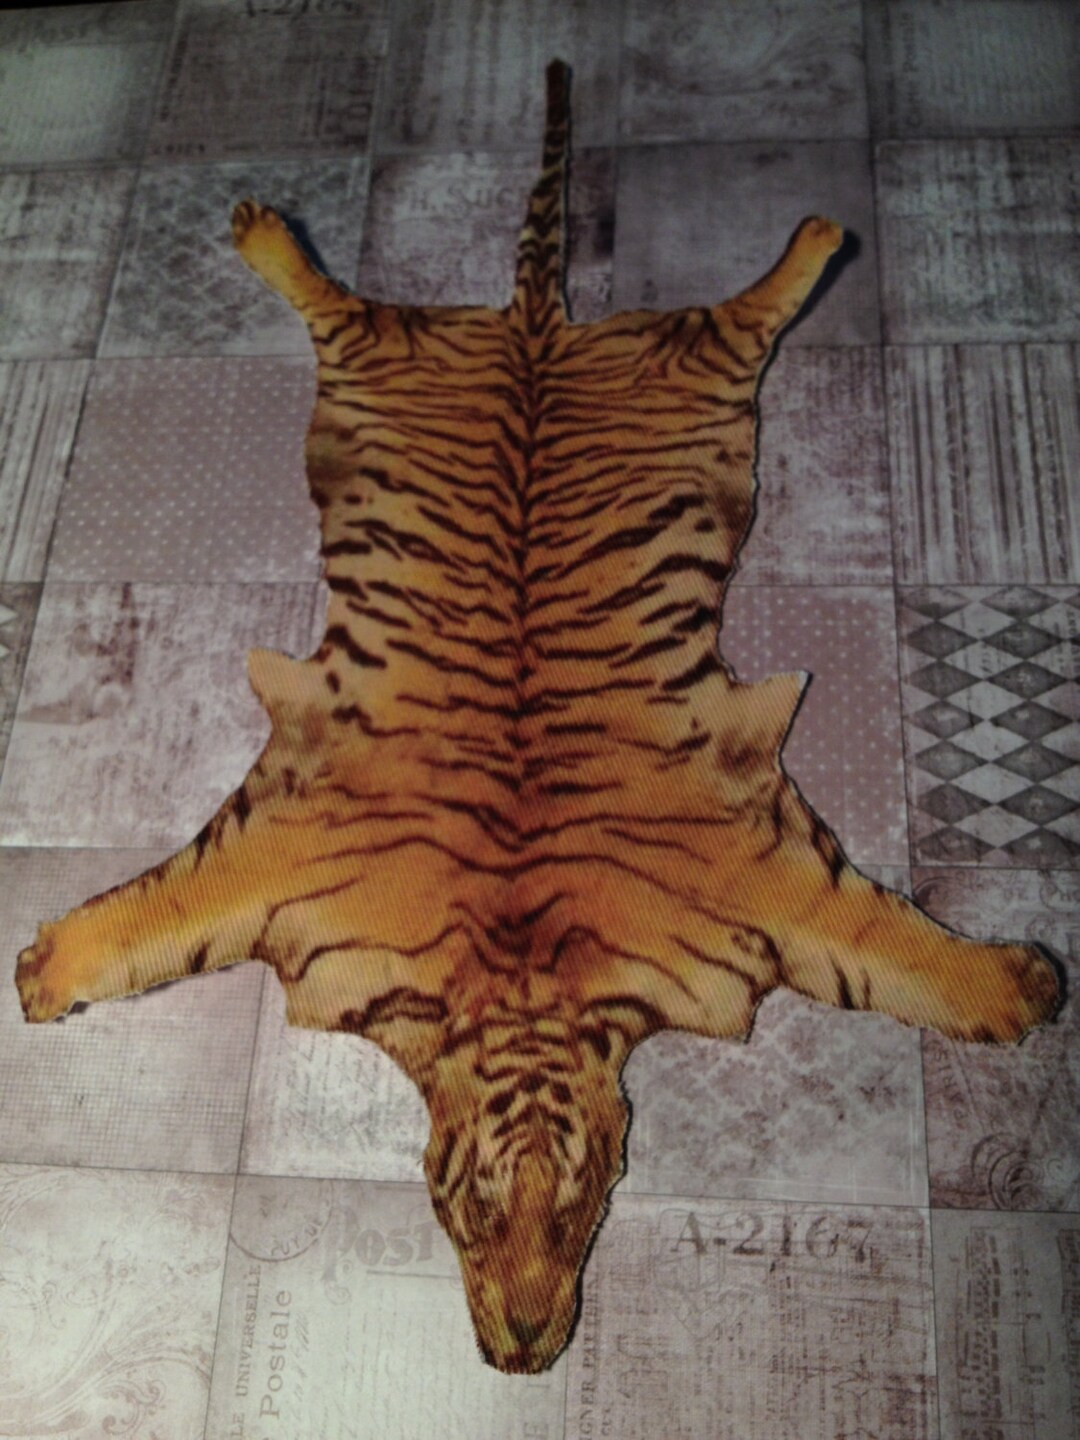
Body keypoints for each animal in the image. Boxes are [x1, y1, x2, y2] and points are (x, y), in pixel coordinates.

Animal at [15, 60, 1061, 1374]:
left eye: (584, 1210)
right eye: (462, 1211)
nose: (522, 1353)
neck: (520, 984)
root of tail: (534, 326)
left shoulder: (772, 886)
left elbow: (898, 950)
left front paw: (1017, 988)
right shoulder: (275, 866)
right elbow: (155, 915)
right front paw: (44, 970)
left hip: (675, 362)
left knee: (744, 305)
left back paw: (817, 230)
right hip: (417, 357)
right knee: (344, 301)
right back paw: (263, 226)